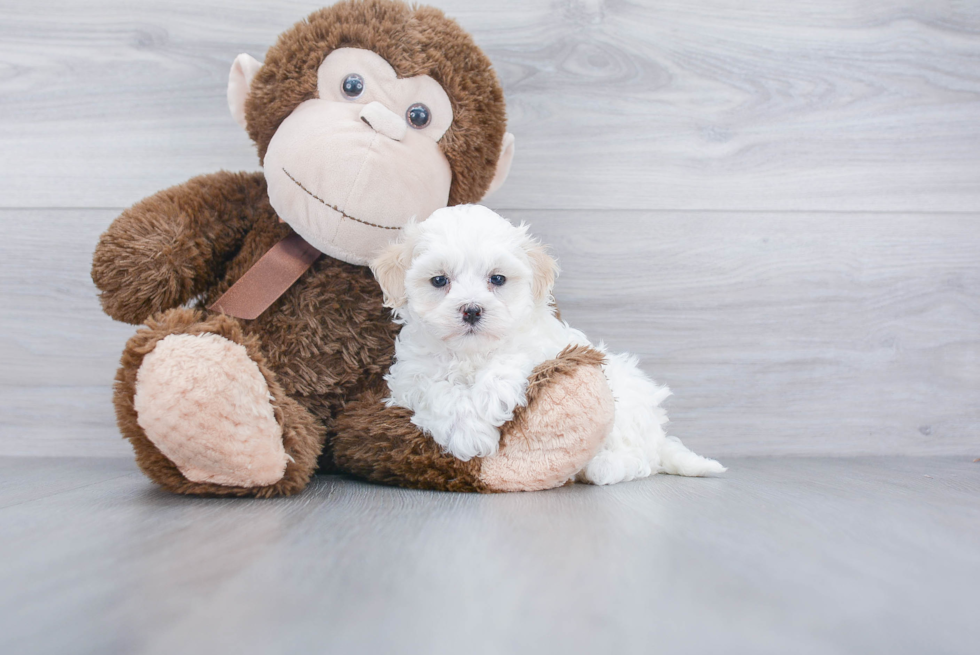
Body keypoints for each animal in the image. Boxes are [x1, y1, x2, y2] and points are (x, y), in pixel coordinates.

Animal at [372, 206, 724, 486]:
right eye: (439, 281)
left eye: (497, 279)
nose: (472, 310)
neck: (470, 354)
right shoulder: (410, 377)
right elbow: (439, 391)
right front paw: (469, 433)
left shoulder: (544, 347)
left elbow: (510, 360)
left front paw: (490, 399)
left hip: (627, 408)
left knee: (640, 460)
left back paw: (603, 466)